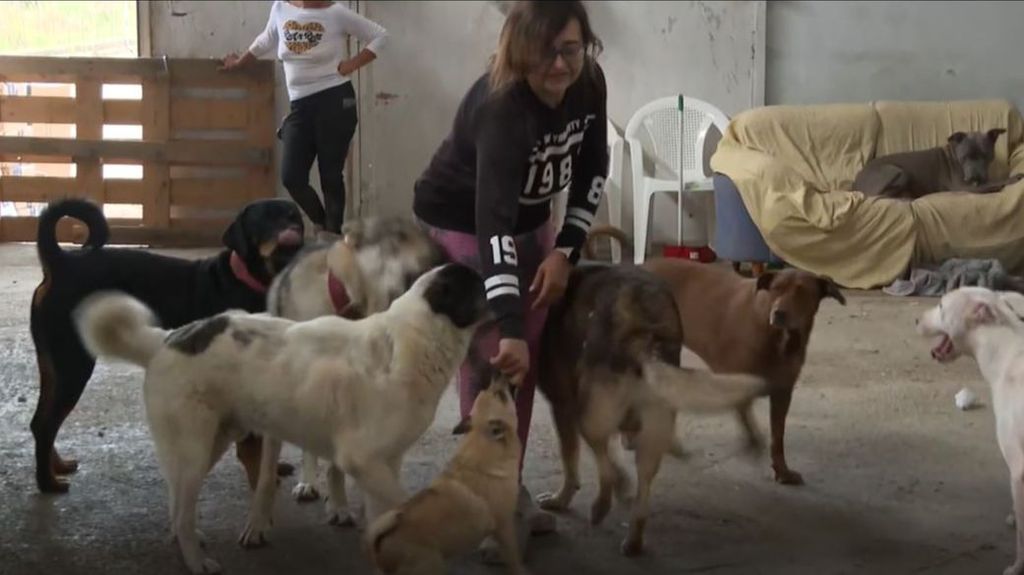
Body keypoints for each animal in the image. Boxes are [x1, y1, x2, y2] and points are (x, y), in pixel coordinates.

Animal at [366, 374, 528, 572]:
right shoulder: (505, 527)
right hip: (432, 564)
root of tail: (380, 543)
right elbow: (514, 559)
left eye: (492, 390)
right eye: (500, 395)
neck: (482, 441)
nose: (497, 374)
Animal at [589, 227, 843, 482]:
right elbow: (749, 422)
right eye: (775, 290)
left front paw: (781, 470)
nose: (779, 313)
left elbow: (777, 437)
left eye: (802, 292)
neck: (777, 337)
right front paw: (754, 444)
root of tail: (636, 268)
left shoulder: (782, 393)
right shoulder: (737, 383)